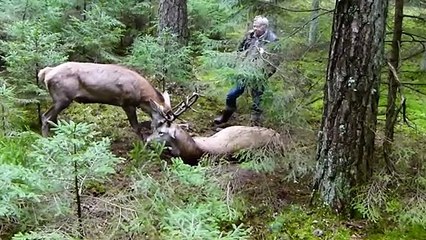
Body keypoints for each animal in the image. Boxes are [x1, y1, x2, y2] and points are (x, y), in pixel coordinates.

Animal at [36, 61, 173, 138]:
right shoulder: (127, 103)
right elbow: (136, 127)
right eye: (162, 121)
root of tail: (46, 73)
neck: (140, 96)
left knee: (52, 118)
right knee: (46, 117)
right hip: (62, 98)